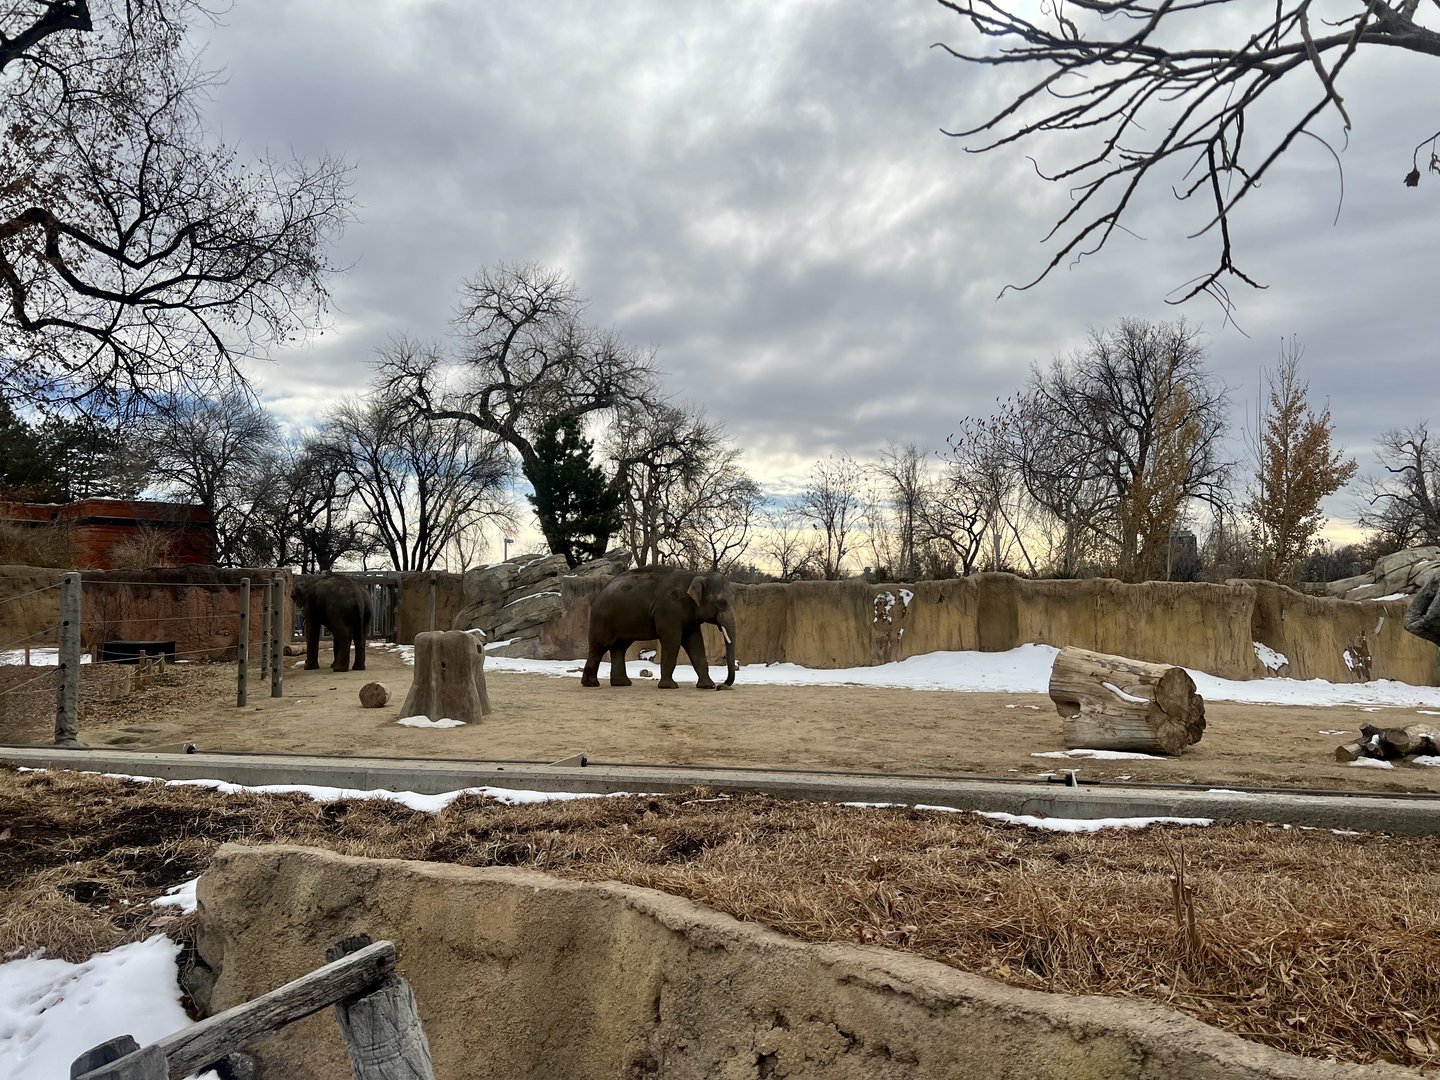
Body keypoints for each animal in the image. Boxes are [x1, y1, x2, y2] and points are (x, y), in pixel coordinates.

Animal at [582, 566, 737, 690]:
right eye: (722, 602)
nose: (721, 685)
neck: (697, 575)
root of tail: (600, 593)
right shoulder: (669, 610)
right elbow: (673, 640)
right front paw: (670, 686)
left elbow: (696, 643)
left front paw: (708, 686)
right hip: (603, 619)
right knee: (600, 646)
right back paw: (591, 684)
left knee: (619, 647)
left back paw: (622, 684)